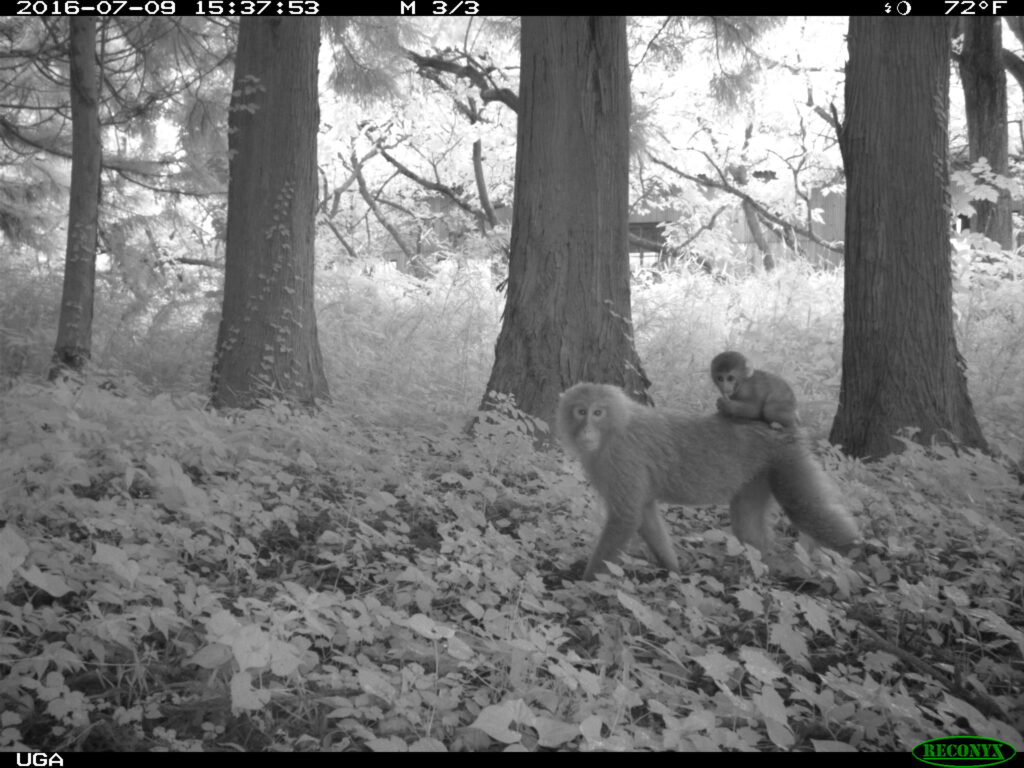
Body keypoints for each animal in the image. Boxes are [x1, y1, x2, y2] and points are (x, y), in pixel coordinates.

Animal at [557, 383, 859, 580]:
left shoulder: (622, 458)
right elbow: (645, 515)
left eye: (598, 413)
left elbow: (626, 518)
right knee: (748, 526)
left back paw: (857, 552)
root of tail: (781, 427)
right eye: (580, 411)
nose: (586, 431)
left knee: (804, 509)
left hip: (788, 459)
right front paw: (673, 570)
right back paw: (760, 572)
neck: (615, 429)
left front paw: (585, 583)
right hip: (761, 472)